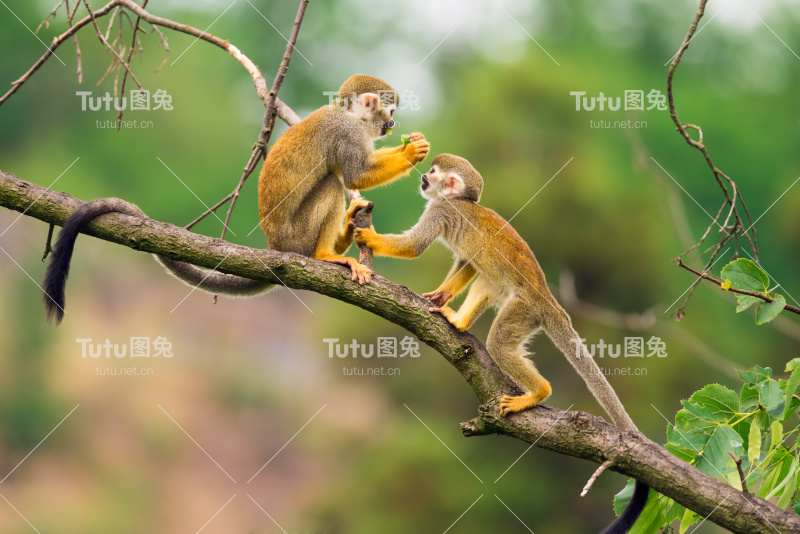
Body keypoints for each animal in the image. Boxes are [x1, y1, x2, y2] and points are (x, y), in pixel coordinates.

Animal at [40, 74, 428, 324]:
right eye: (391, 112)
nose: (393, 125)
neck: (351, 117)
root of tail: (276, 246)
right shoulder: (345, 134)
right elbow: (354, 175)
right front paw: (412, 152)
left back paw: (346, 233)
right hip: (296, 236)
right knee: (332, 183)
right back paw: (325, 255)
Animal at [356, 153, 648, 532]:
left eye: (433, 172)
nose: (422, 178)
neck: (459, 201)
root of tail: (549, 300)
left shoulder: (441, 210)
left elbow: (416, 246)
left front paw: (368, 236)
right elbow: (467, 262)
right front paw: (440, 295)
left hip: (524, 310)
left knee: (499, 342)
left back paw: (538, 393)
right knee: (486, 276)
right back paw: (459, 321)